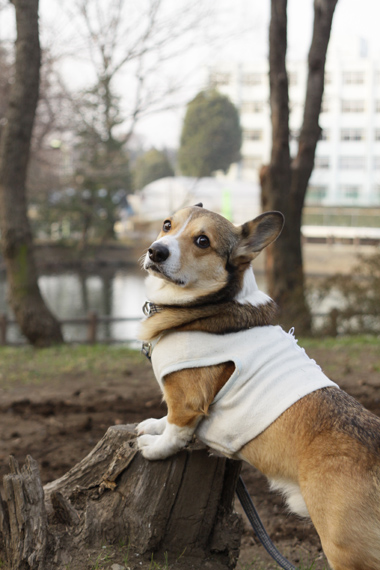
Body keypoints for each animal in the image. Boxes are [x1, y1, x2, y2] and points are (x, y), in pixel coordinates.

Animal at [138, 202, 380, 564]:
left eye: (202, 241)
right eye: (167, 225)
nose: (156, 250)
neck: (207, 304)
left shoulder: (188, 402)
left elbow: (174, 433)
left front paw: (153, 449)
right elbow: (165, 420)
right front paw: (151, 425)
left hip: (344, 549)